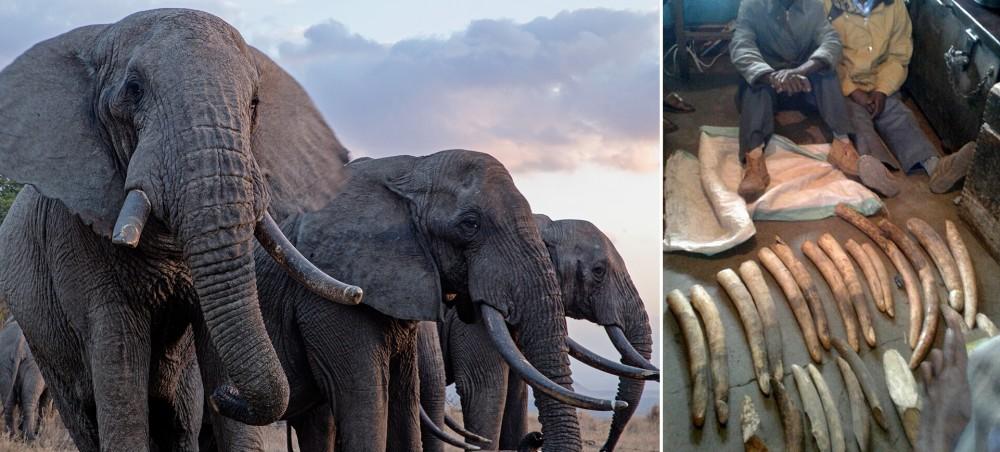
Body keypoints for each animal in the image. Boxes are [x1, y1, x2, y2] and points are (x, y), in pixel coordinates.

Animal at [0, 9, 361, 451]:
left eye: (254, 103)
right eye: (134, 90)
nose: (226, 395)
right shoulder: (74, 237)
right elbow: (119, 364)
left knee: (176, 414)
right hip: (42, 343)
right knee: (84, 414)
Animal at [208, 150, 625, 451]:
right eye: (470, 225)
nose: (535, 439)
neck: (409, 169)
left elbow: (405, 405)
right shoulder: (332, 293)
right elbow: (371, 398)